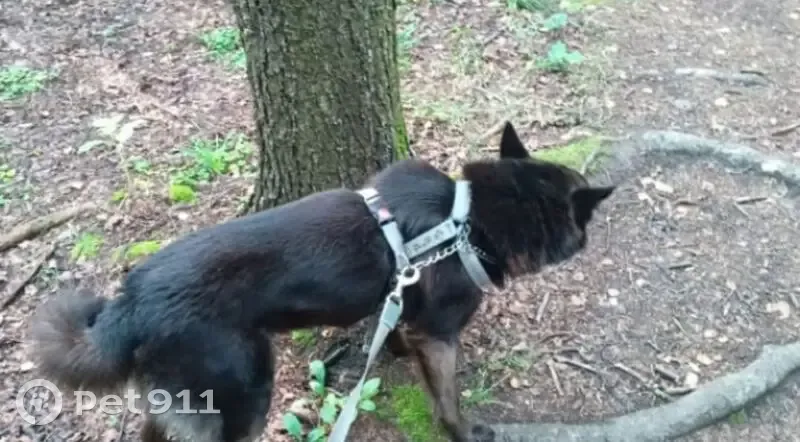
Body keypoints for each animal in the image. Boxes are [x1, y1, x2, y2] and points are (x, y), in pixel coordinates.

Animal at [26, 121, 614, 442]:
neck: (467, 218)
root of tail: (130, 303)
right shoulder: (441, 335)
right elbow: (447, 400)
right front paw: (464, 433)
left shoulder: (409, 312)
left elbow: (395, 333)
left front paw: (393, 350)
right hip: (245, 393)